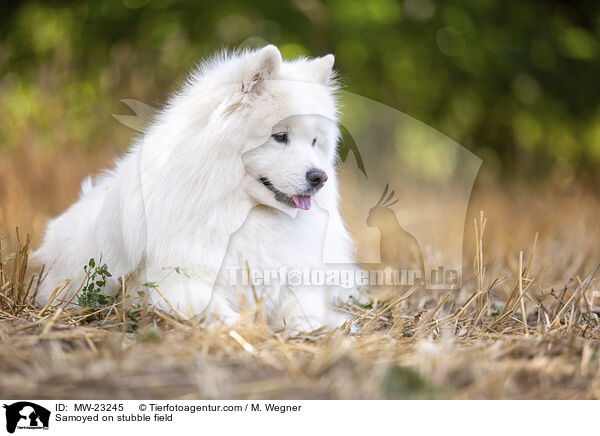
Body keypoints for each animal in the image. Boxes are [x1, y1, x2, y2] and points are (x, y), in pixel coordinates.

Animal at [34, 46, 356, 330]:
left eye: (314, 142)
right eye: (280, 137)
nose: (319, 177)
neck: (245, 214)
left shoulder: (299, 283)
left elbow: (303, 314)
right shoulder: (178, 282)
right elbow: (219, 312)